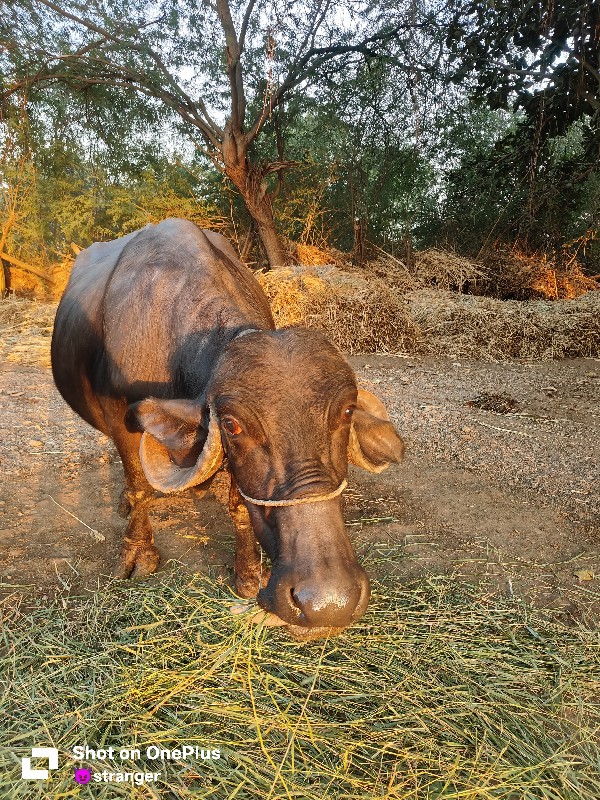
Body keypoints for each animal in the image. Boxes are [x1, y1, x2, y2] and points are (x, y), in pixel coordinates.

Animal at [51, 219, 404, 636]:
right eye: (233, 425)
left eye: (348, 411)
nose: (328, 602)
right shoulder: (122, 418)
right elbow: (140, 487)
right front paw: (138, 553)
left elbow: (238, 505)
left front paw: (248, 572)